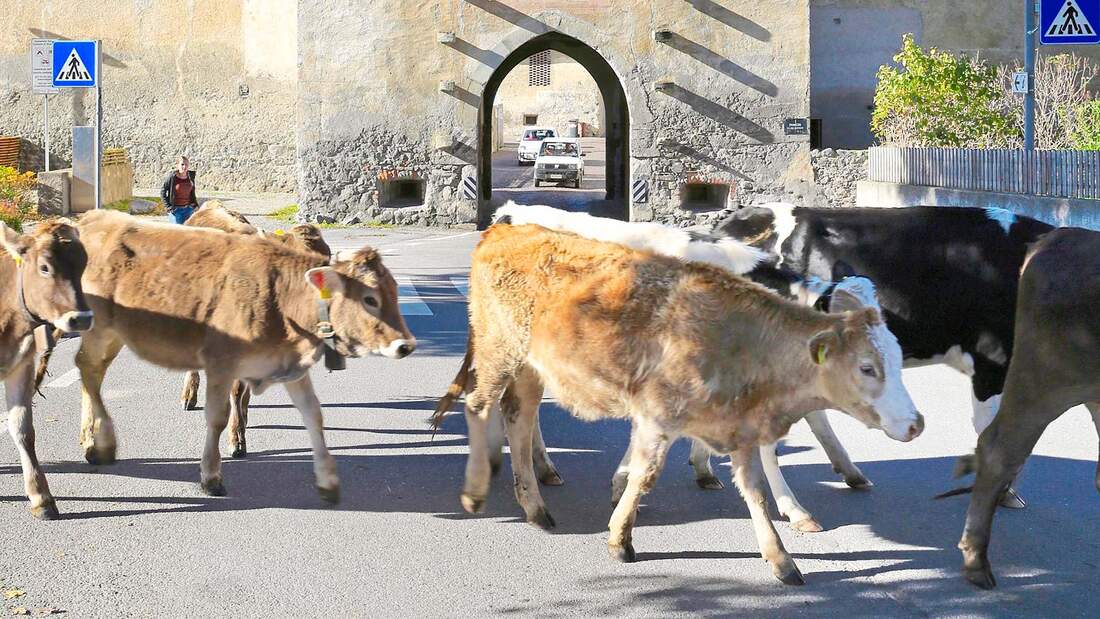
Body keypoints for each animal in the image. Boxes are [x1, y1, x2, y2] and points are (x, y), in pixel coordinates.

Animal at [0, 218, 93, 518]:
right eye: (45, 267)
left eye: (83, 264)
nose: (81, 319)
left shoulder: (22, 366)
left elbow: (23, 429)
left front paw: (41, 497)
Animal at [433, 224, 924, 584]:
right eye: (867, 368)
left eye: (898, 358)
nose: (917, 423)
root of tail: (505, 229)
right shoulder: (657, 414)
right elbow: (645, 475)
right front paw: (620, 538)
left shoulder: (738, 426)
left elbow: (754, 491)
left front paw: (781, 559)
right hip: (498, 352)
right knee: (480, 405)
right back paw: (478, 489)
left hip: (531, 369)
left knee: (519, 417)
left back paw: (535, 504)